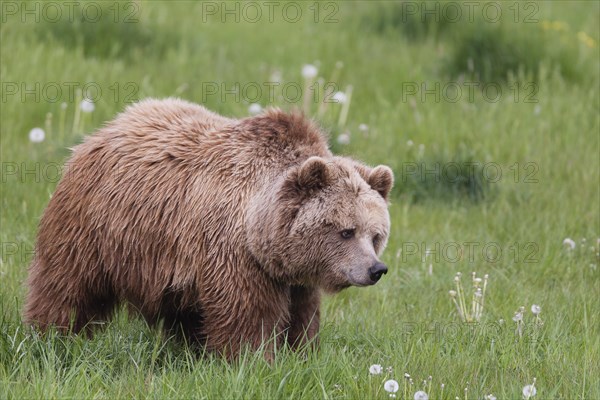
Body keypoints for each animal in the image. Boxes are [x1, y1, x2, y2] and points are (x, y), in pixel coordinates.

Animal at [24, 97, 394, 360]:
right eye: (346, 230)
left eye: (375, 235)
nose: (375, 269)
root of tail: (107, 127)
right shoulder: (235, 254)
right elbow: (248, 315)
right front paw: (253, 359)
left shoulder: (292, 277)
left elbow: (302, 316)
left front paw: (301, 353)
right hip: (96, 226)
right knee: (68, 283)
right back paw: (51, 334)